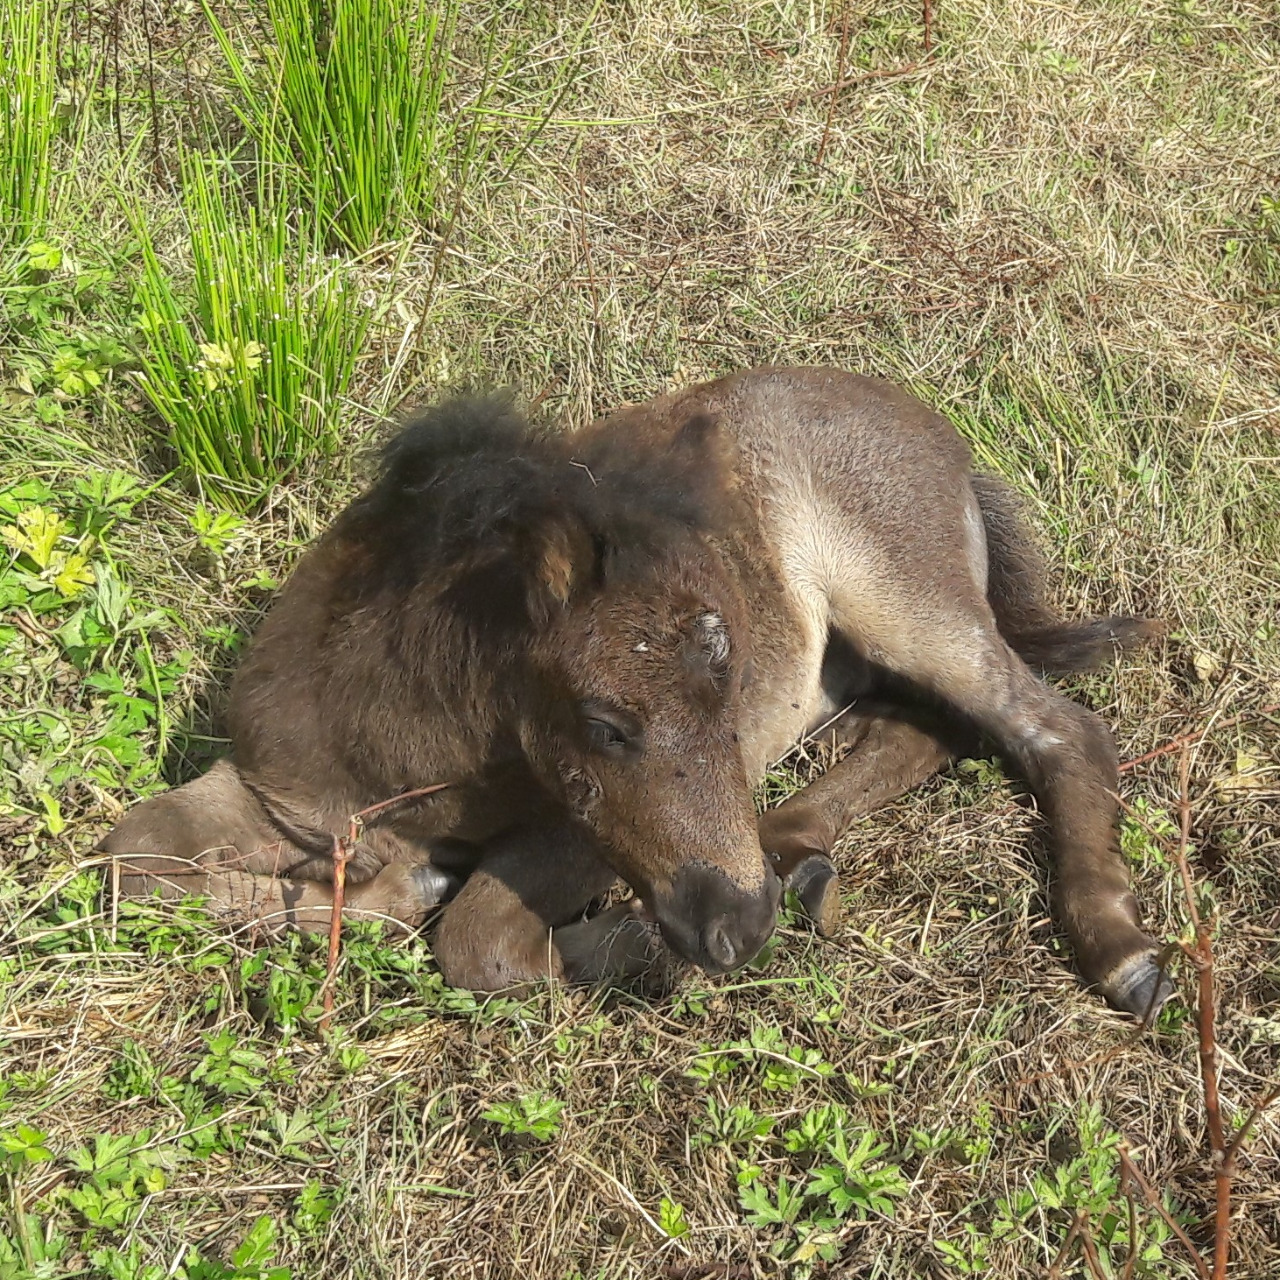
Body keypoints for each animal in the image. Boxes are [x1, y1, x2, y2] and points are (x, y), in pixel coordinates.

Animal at [102, 366, 1172, 1013]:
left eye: (727, 696)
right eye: (605, 724)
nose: (739, 928)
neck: (405, 754)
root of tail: (946, 443)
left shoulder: (572, 829)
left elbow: (477, 940)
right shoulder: (273, 791)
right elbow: (131, 860)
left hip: (905, 600)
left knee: (1058, 730)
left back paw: (1120, 951)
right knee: (930, 732)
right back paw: (796, 853)